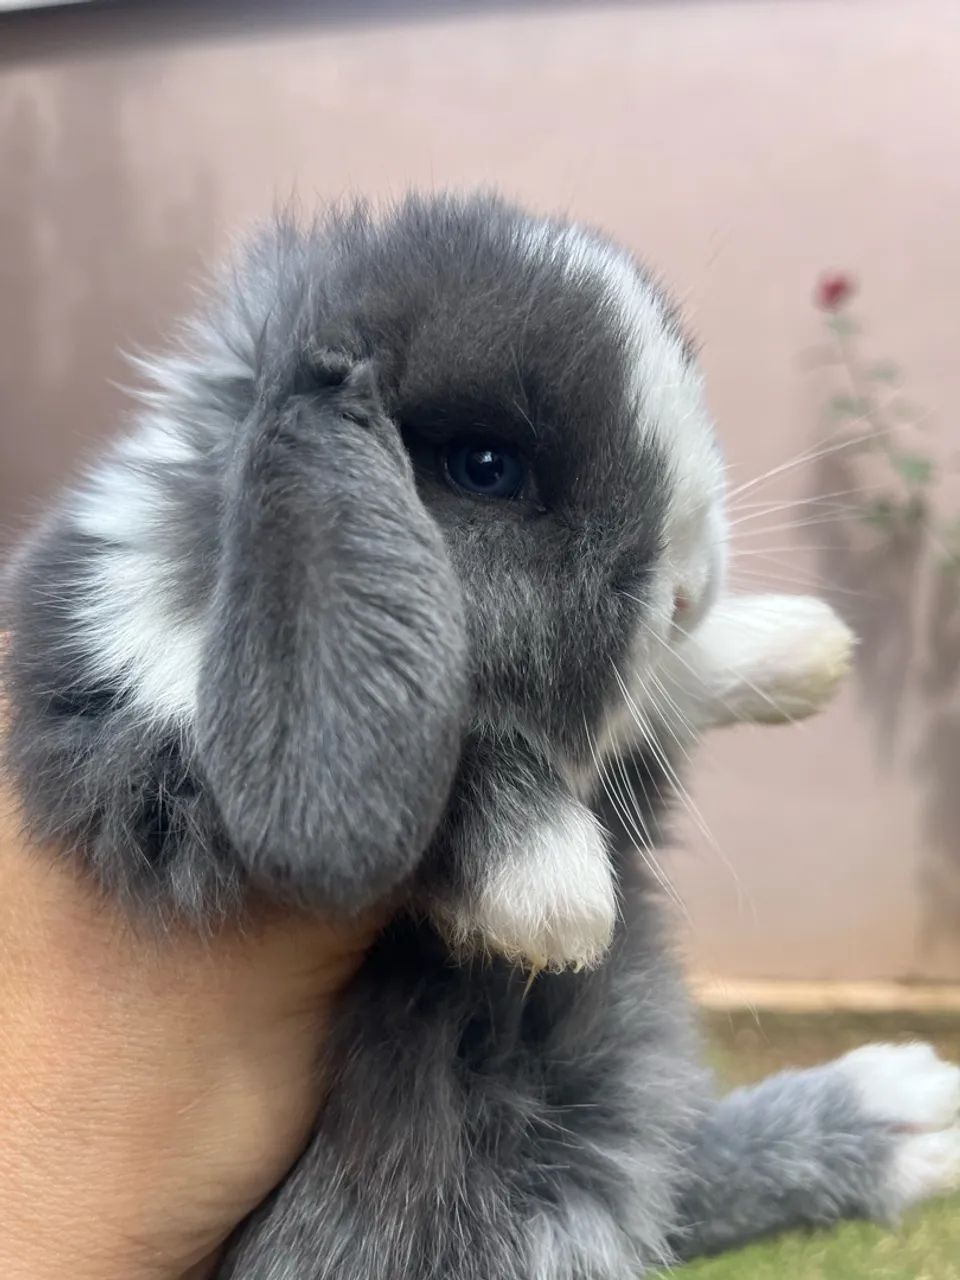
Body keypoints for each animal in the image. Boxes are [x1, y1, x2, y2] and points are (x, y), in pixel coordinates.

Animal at [2, 192, 958, 1279]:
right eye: (487, 466)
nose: (691, 584)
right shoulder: (139, 759)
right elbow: (455, 765)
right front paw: (559, 892)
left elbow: (655, 687)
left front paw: (802, 646)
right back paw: (902, 1115)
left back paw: (905, 1112)